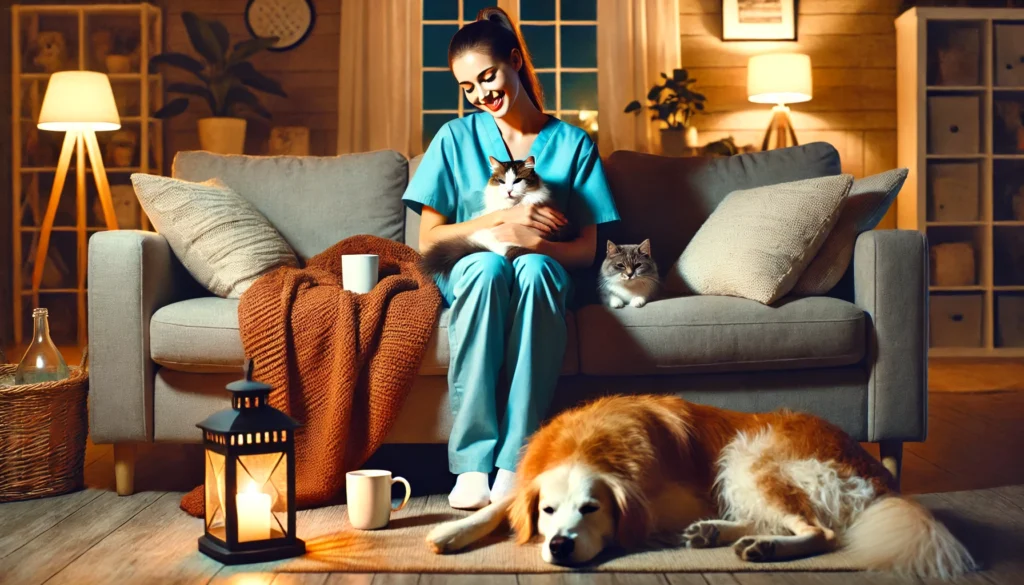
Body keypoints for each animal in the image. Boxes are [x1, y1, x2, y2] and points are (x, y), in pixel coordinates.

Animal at [425, 395, 974, 577]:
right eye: (549, 512)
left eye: (591, 509)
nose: (559, 546)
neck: (589, 444)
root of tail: (873, 468)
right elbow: (502, 504)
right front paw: (454, 531)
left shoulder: (669, 497)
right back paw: (719, 534)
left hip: (748, 456)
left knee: (820, 532)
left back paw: (762, 547)